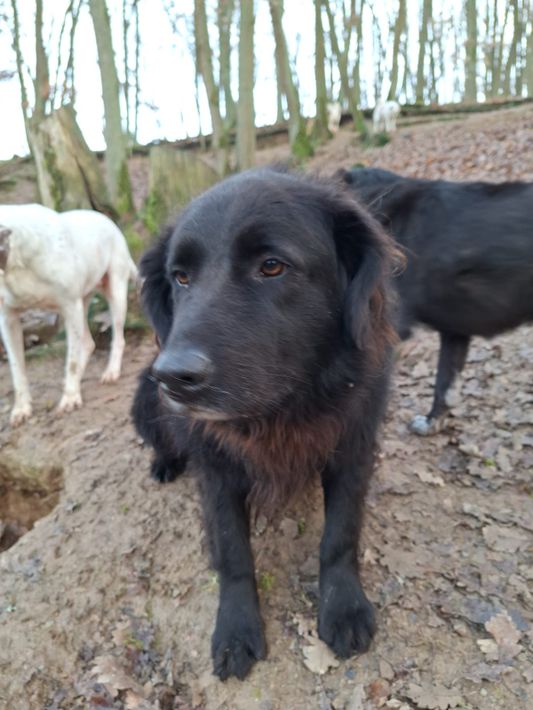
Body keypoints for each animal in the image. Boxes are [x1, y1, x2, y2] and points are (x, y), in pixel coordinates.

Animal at [0, 203, 138, 425]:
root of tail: (107, 220)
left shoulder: (70, 305)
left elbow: (71, 362)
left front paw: (71, 398)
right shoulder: (8, 319)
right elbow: (16, 369)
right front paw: (21, 408)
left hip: (114, 295)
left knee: (117, 338)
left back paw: (111, 371)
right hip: (79, 306)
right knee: (88, 343)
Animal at [131, 168, 397, 680]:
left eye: (272, 266)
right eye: (181, 278)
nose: (173, 377)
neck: (281, 412)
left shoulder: (354, 447)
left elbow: (340, 534)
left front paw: (343, 607)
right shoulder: (215, 471)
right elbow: (233, 551)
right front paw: (235, 629)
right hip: (143, 400)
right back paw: (163, 464)